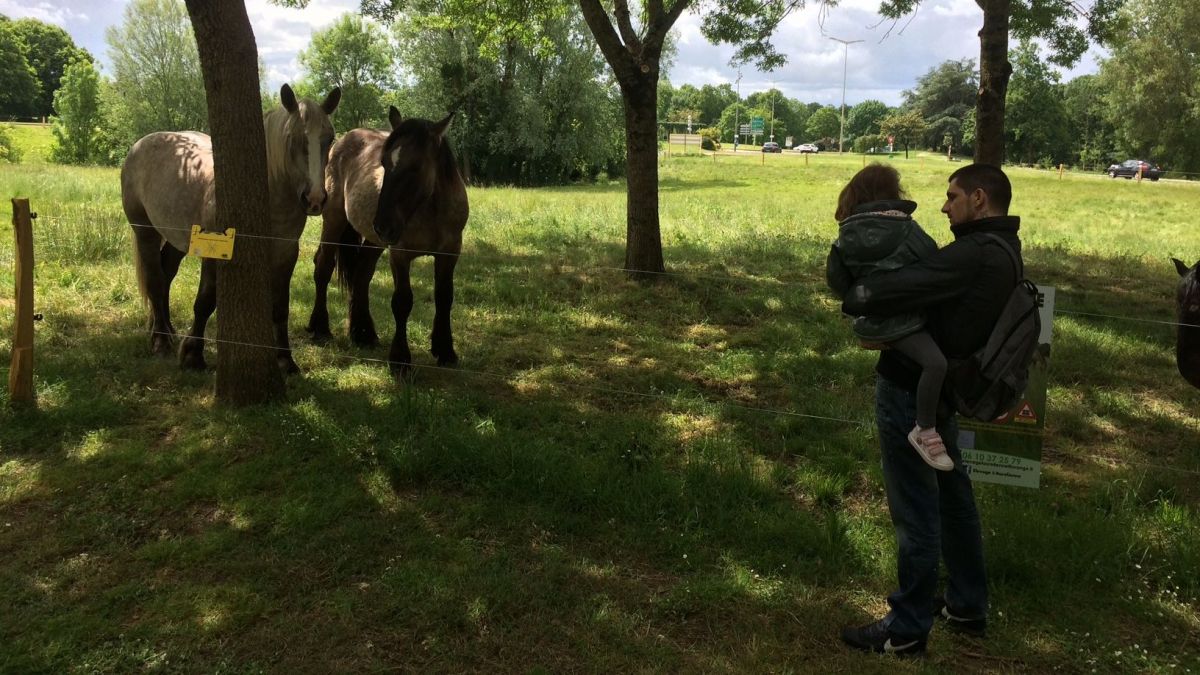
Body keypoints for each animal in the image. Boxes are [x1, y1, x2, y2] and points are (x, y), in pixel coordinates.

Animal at [121, 84, 340, 372]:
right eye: (292, 138)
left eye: (329, 138)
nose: (314, 199)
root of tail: (139, 145)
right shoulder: (215, 252)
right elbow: (205, 301)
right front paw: (192, 355)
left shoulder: (285, 254)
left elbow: (280, 306)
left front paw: (285, 359)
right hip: (144, 230)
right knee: (156, 280)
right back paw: (161, 341)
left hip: (176, 239)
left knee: (166, 275)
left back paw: (167, 329)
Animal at [309, 105, 468, 372]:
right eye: (383, 163)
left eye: (415, 167)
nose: (383, 225)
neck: (430, 209)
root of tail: (343, 139)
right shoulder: (399, 254)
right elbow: (402, 301)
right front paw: (400, 359)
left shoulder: (449, 252)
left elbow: (444, 297)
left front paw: (445, 350)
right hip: (334, 220)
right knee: (323, 267)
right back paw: (319, 327)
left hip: (374, 241)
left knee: (362, 274)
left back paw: (363, 333)